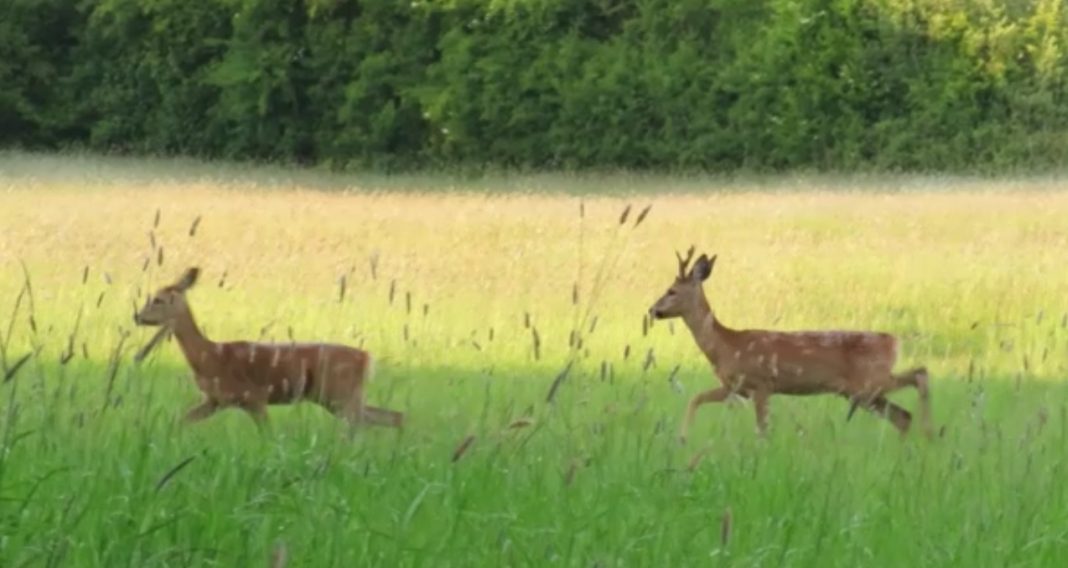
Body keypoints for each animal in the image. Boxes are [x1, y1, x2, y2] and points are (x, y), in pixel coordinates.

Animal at [133, 267, 401, 433]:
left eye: (158, 300)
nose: (137, 316)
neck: (209, 356)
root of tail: (367, 358)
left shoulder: (254, 397)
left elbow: (268, 435)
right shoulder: (215, 400)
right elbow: (179, 422)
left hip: (339, 393)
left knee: (366, 423)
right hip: (338, 397)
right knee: (392, 417)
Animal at [645, 248, 931, 444]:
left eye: (671, 291)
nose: (653, 310)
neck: (726, 346)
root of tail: (893, 341)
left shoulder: (761, 384)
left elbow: (762, 430)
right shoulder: (735, 388)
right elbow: (696, 398)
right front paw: (682, 438)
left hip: (869, 382)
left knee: (919, 375)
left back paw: (928, 435)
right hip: (860, 393)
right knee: (902, 416)